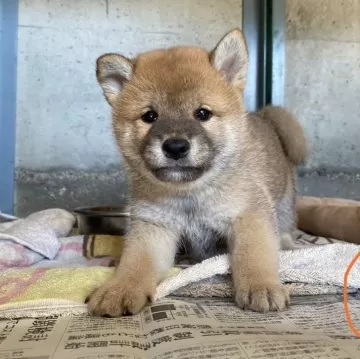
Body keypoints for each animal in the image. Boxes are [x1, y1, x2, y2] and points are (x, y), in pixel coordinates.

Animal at [86, 28, 306, 318]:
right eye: (150, 116)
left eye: (202, 113)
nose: (175, 147)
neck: (190, 195)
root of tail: (264, 117)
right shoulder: (153, 228)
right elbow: (136, 262)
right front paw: (119, 288)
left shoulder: (249, 216)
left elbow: (254, 255)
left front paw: (262, 286)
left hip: (284, 202)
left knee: (285, 228)